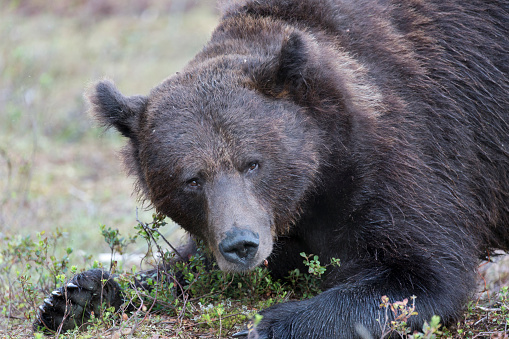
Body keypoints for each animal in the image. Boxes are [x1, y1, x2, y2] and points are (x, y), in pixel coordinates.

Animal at [33, 0, 506, 338]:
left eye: (252, 163)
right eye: (192, 179)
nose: (241, 244)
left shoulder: (413, 147)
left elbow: (421, 275)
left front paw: (264, 326)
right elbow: (189, 267)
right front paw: (74, 297)